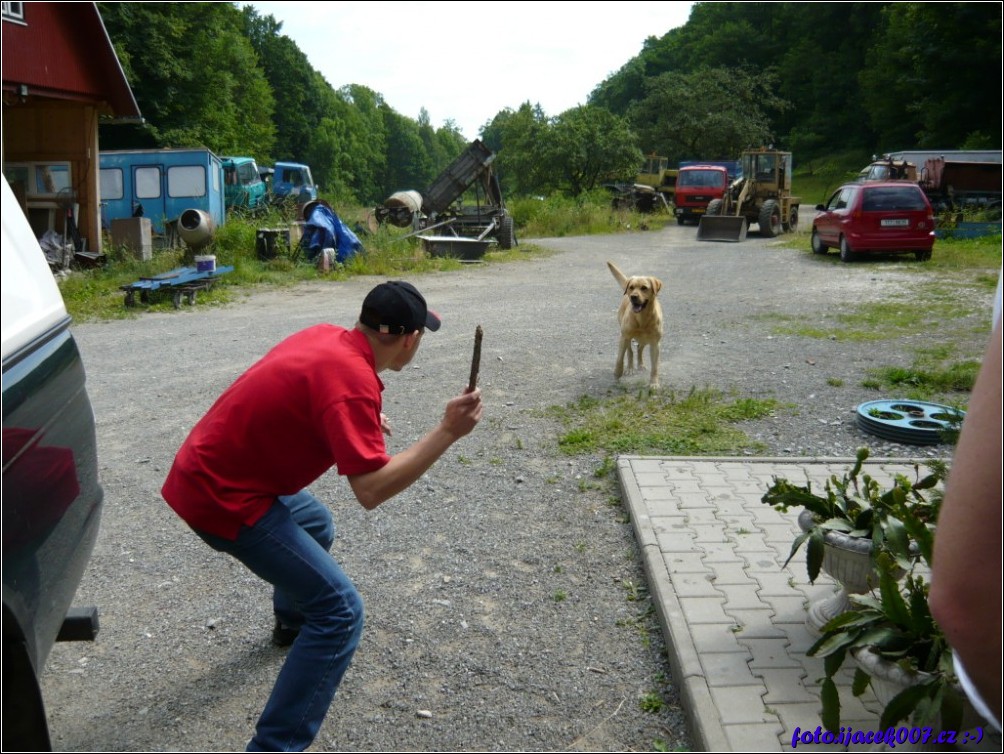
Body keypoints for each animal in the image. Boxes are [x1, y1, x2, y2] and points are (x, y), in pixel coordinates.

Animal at [606, 261, 662, 389]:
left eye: (644, 288)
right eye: (631, 287)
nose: (633, 296)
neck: (642, 318)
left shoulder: (655, 344)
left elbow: (655, 367)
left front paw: (654, 383)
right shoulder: (624, 337)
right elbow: (619, 359)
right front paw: (617, 373)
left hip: (645, 339)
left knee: (639, 349)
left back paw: (640, 364)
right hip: (626, 337)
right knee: (630, 352)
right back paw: (630, 368)